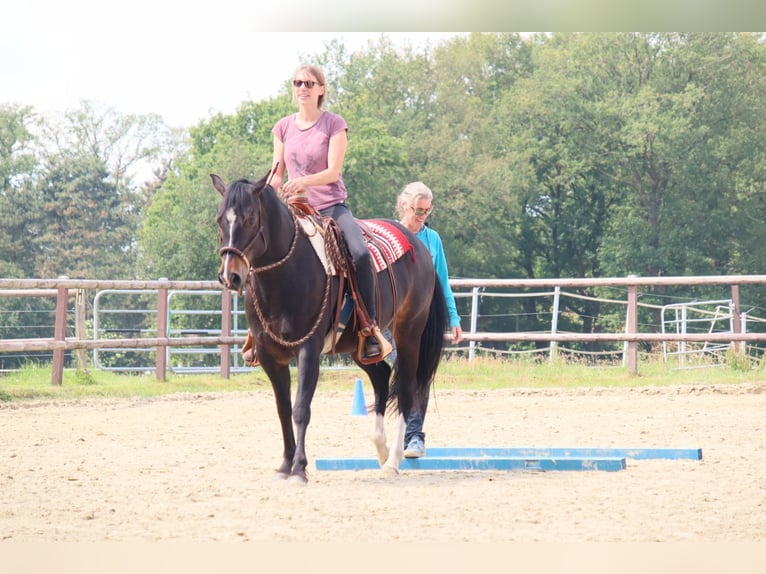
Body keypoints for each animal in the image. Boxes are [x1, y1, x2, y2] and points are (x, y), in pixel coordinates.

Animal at [212, 172, 450, 486]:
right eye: (219, 219)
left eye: (250, 218)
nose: (231, 275)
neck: (285, 276)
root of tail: (418, 246)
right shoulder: (269, 356)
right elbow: (283, 409)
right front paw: (285, 465)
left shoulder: (308, 351)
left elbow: (301, 409)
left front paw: (299, 469)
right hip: (359, 347)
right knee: (381, 376)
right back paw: (381, 449)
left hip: (409, 333)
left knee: (406, 391)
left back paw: (394, 461)